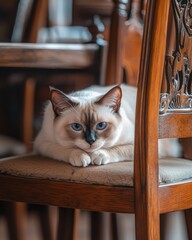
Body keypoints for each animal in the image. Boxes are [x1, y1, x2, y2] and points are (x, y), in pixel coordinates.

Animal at [33, 84, 182, 167]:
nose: (91, 140)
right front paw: (82, 157)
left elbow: (117, 149)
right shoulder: (43, 144)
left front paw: (98, 155)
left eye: (101, 125)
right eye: (76, 127)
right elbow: (64, 149)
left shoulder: (142, 146)